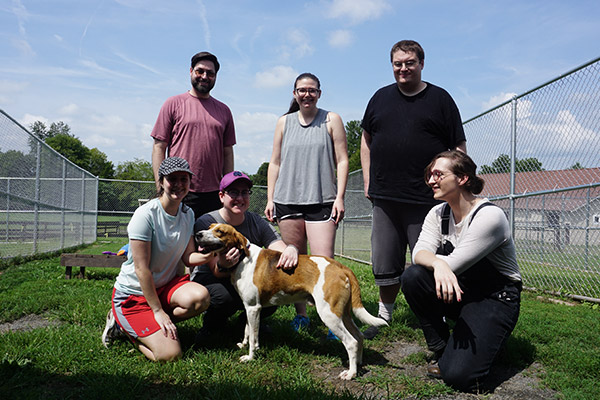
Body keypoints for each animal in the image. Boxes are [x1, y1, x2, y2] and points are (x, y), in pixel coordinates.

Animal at [195, 223, 386, 380]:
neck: (242, 257)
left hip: (329, 315)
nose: (197, 234)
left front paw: (250, 357)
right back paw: (359, 364)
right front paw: (243, 345)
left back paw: (351, 373)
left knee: (351, 342)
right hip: (343, 314)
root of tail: (341, 266)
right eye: (209, 226)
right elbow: (247, 331)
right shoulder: (249, 307)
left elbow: (254, 337)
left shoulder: (253, 308)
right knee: (359, 337)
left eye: (220, 231)